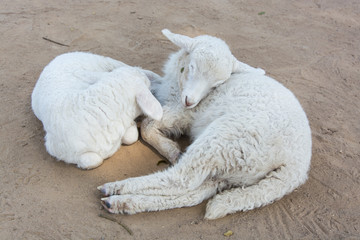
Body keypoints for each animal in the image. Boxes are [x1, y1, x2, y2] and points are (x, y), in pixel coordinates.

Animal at [31, 51, 163, 170]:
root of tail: (59, 58)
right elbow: (94, 160)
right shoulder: (56, 149)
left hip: (105, 62)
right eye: (146, 84)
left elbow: (131, 137)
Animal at [98, 29, 312, 219]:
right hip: (233, 172)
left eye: (217, 84)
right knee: (194, 193)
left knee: (181, 180)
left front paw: (170, 149)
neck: (179, 84)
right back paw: (123, 203)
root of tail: (296, 166)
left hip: (225, 140)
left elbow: (148, 126)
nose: (190, 101)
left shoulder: (182, 113)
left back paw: (116, 189)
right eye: (192, 67)